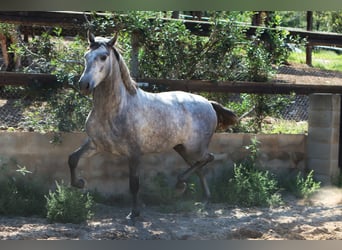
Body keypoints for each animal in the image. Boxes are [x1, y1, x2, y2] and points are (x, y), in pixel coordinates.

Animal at [68, 31, 236, 219]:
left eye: (103, 57)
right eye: (86, 55)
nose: (84, 85)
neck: (116, 108)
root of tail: (209, 103)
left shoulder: (134, 153)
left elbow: (134, 183)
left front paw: (134, 213)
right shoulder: (95, 144)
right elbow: (72, 159)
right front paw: (79, 183)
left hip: (195, 147)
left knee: (208, 158)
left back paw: (181, 185)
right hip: (182, 148)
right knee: (199, 166)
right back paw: (203, 198)